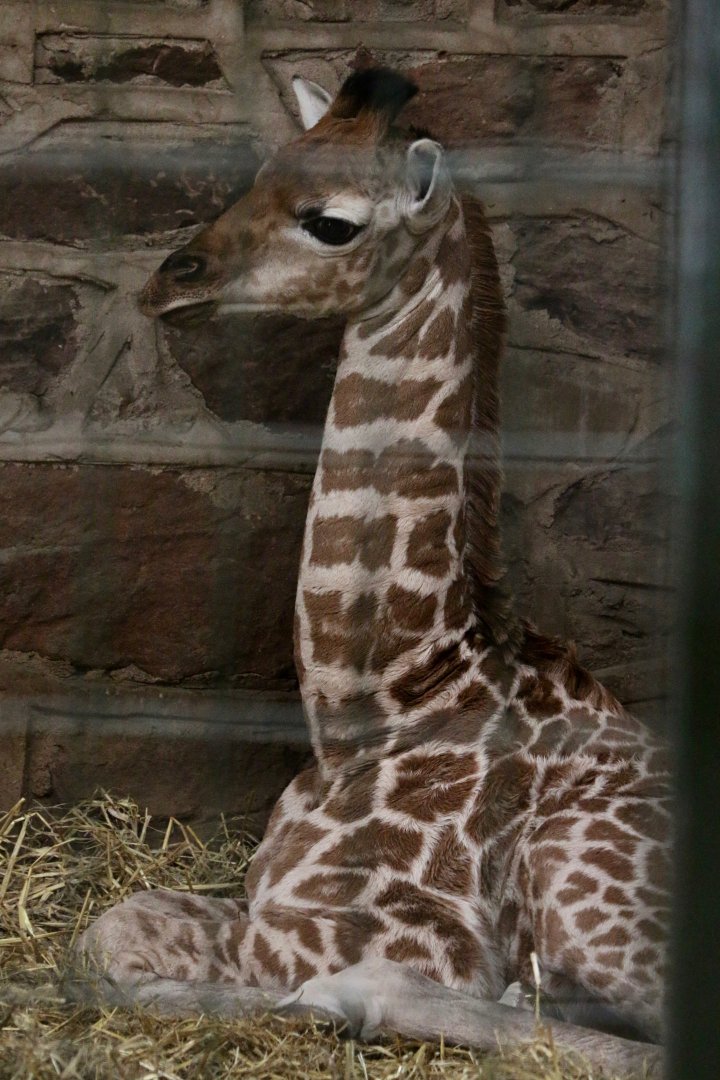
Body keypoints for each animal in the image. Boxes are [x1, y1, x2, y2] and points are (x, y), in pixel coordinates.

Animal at [73, 69, 671, 1076]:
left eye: (332, 222)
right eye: (264, 171)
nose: (168, 282)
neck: (383, 693)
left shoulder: (399, 928)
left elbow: (114, 939)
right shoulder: (264, 890)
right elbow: (116, 924)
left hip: (582, 893)